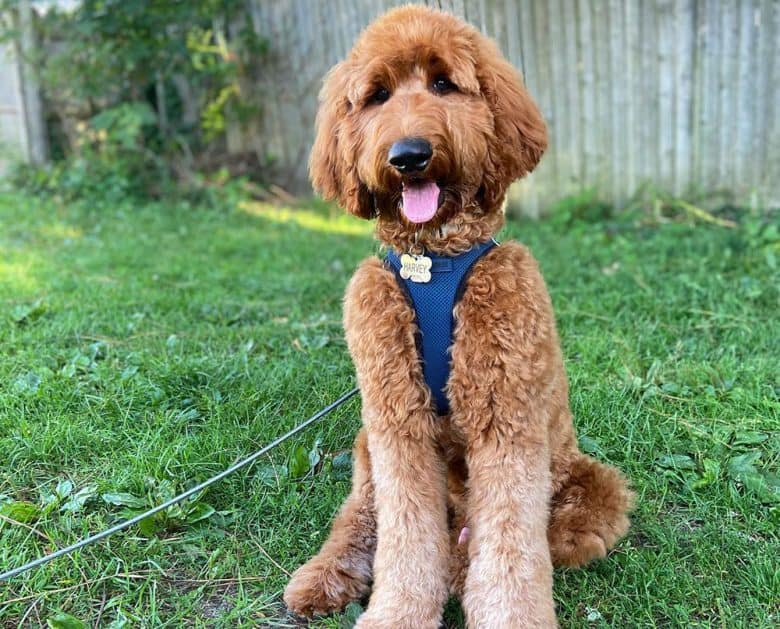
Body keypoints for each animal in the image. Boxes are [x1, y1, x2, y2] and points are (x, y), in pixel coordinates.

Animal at [284, 6, 632, 628]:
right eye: (376, 95)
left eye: (444, 83)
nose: (408, 155)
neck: (434, 262)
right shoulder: (397, 423)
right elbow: (404, 534)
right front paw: (396, 613)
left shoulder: (505, 421)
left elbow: (510, 545)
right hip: (367, 446)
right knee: (364, 515)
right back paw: (326, 576)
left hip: (589, 489)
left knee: (497, 539)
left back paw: (456, 571)